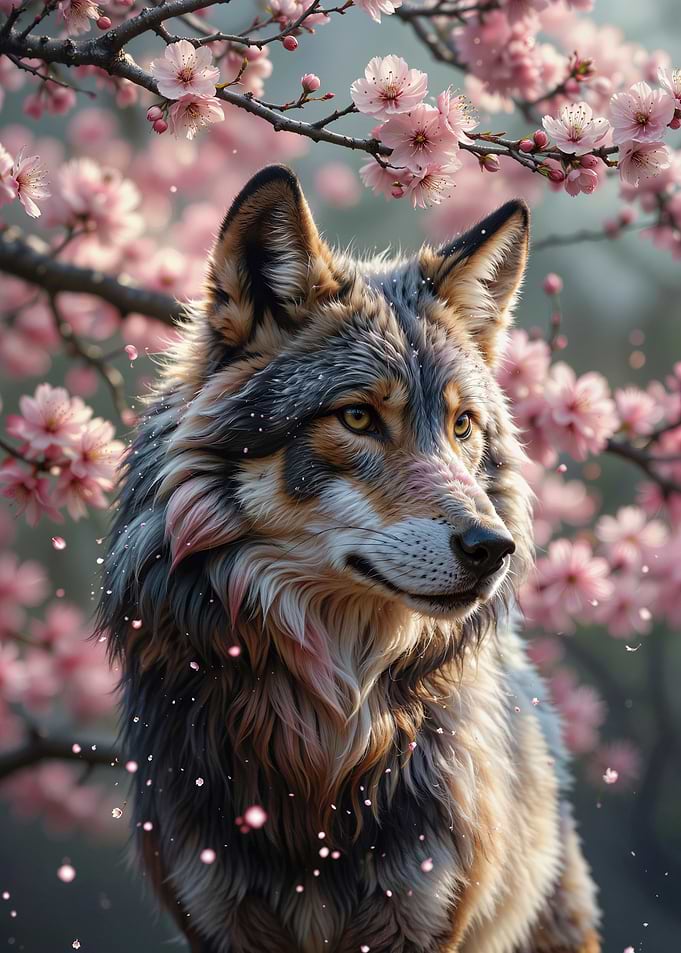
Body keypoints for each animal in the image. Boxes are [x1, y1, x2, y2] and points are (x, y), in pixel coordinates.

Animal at [98, 165, 600, 953]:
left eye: (461, 425)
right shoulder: (214, 914)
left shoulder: (421, 916)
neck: (325, 736)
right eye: (358, 416)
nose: (493, 548)